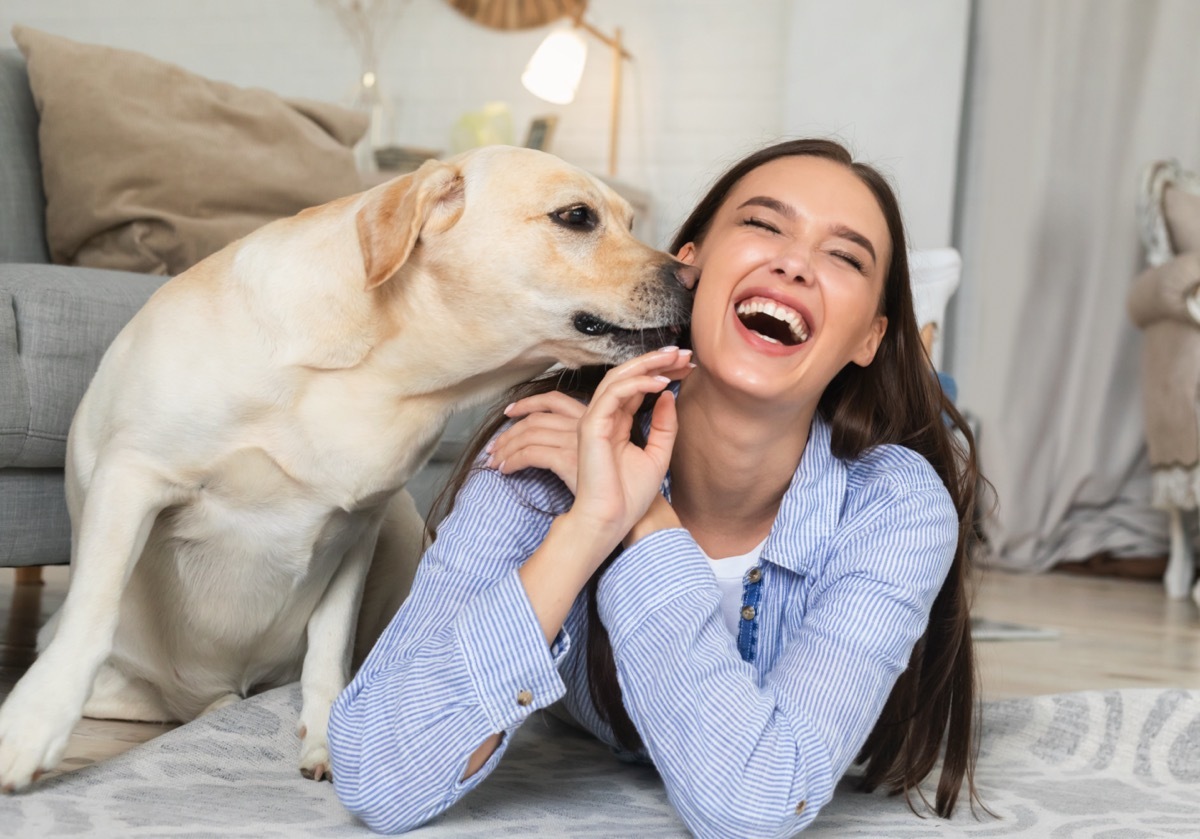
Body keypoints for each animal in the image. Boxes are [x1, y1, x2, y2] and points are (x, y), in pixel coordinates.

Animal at [0, 144, 696, 787]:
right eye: (577, 217)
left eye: (631, 221)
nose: (693, 279)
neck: (380, 372)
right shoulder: (133, 476)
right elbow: (93, 613)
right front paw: (32, 726)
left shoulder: (359, 524)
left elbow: (329, 647)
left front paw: (324, 739)